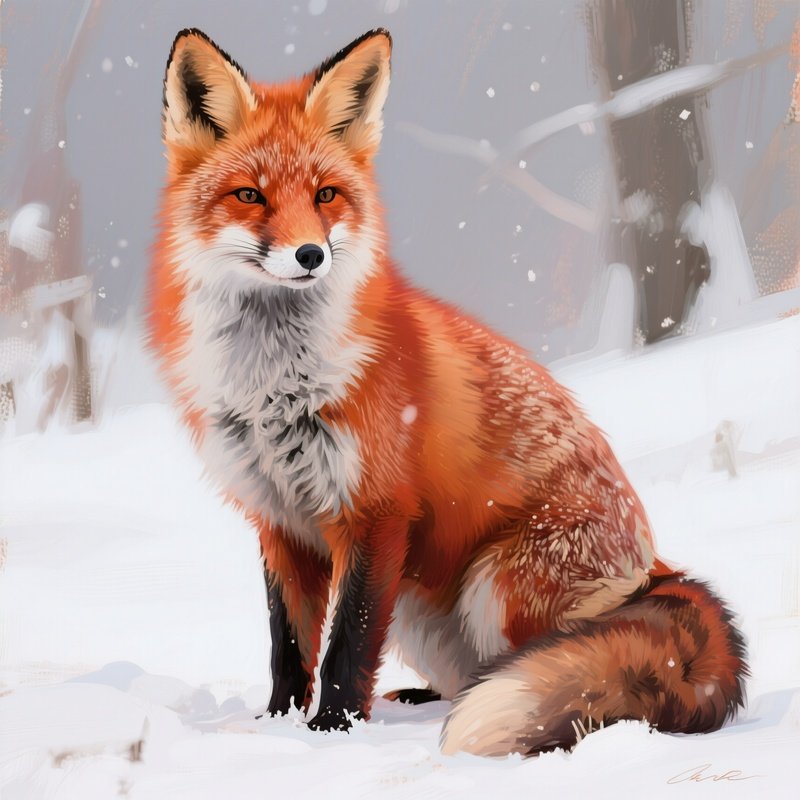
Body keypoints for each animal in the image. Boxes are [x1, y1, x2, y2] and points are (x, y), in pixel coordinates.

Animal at [147, 28, 746, 756]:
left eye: (325, 195)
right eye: (250, 196)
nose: (311, 255)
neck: (276, 389)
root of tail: (655, 565)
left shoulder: (374, 511)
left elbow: (347, 647)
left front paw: (331, 731)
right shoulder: (279, 521)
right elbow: (288, 647)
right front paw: (280, 725)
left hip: (495, 585)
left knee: (545, 665)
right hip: (420, 608)